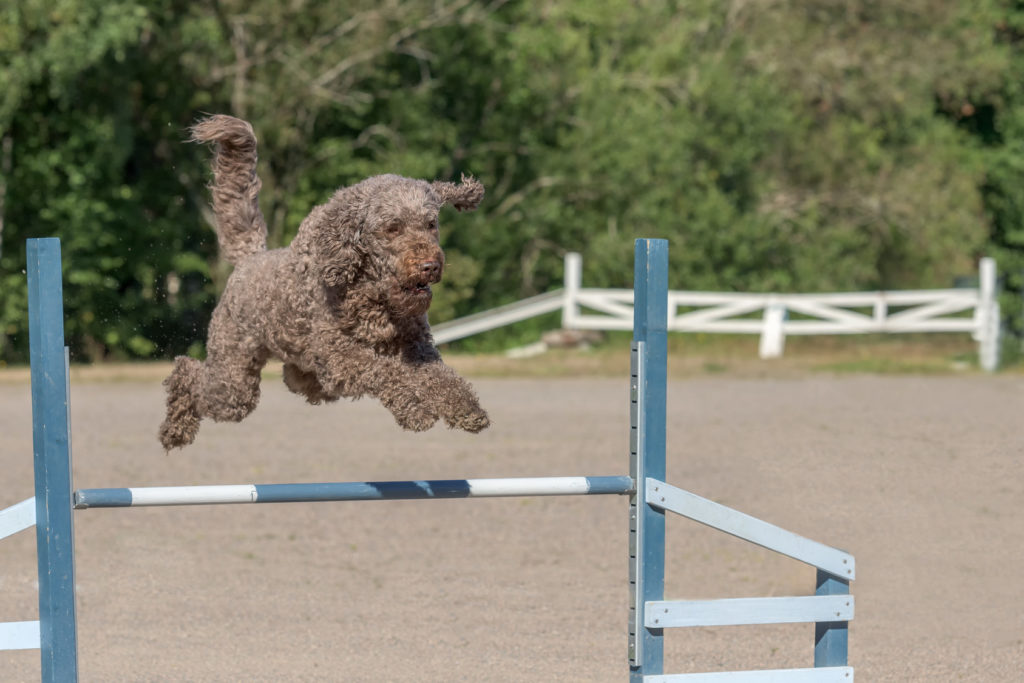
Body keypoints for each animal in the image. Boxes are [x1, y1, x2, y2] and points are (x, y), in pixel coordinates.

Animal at [160, 115, 491, 450]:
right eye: (393, 228)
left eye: (431, 224)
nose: (431, 265)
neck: (372, 295)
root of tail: (249, 258)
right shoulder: (340, 356)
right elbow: (387, 371)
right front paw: (414, 410)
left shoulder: (417, 348)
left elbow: (441, 378)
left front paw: (465, 407)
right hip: (233, 380)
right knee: (188, 373)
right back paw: (175, 427)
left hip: (296, 371)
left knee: (293, 378)